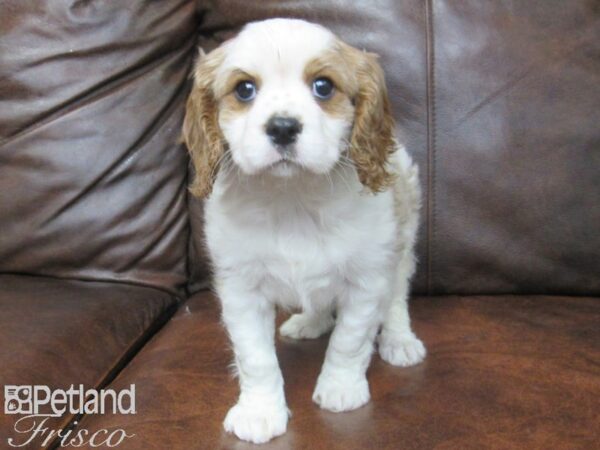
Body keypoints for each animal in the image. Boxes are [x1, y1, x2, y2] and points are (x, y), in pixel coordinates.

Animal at [185, 18, 424, 446]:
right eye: (244, 89)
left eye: (323, 86)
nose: (282, 127)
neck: (292, 196)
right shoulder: (241, 288)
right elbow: (256, 357)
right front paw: (260, 412)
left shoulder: (367, 280)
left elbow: (349, 339)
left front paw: (341, 388)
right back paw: (310, 322)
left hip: (404, 237)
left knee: (397, 297)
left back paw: (399, 340)